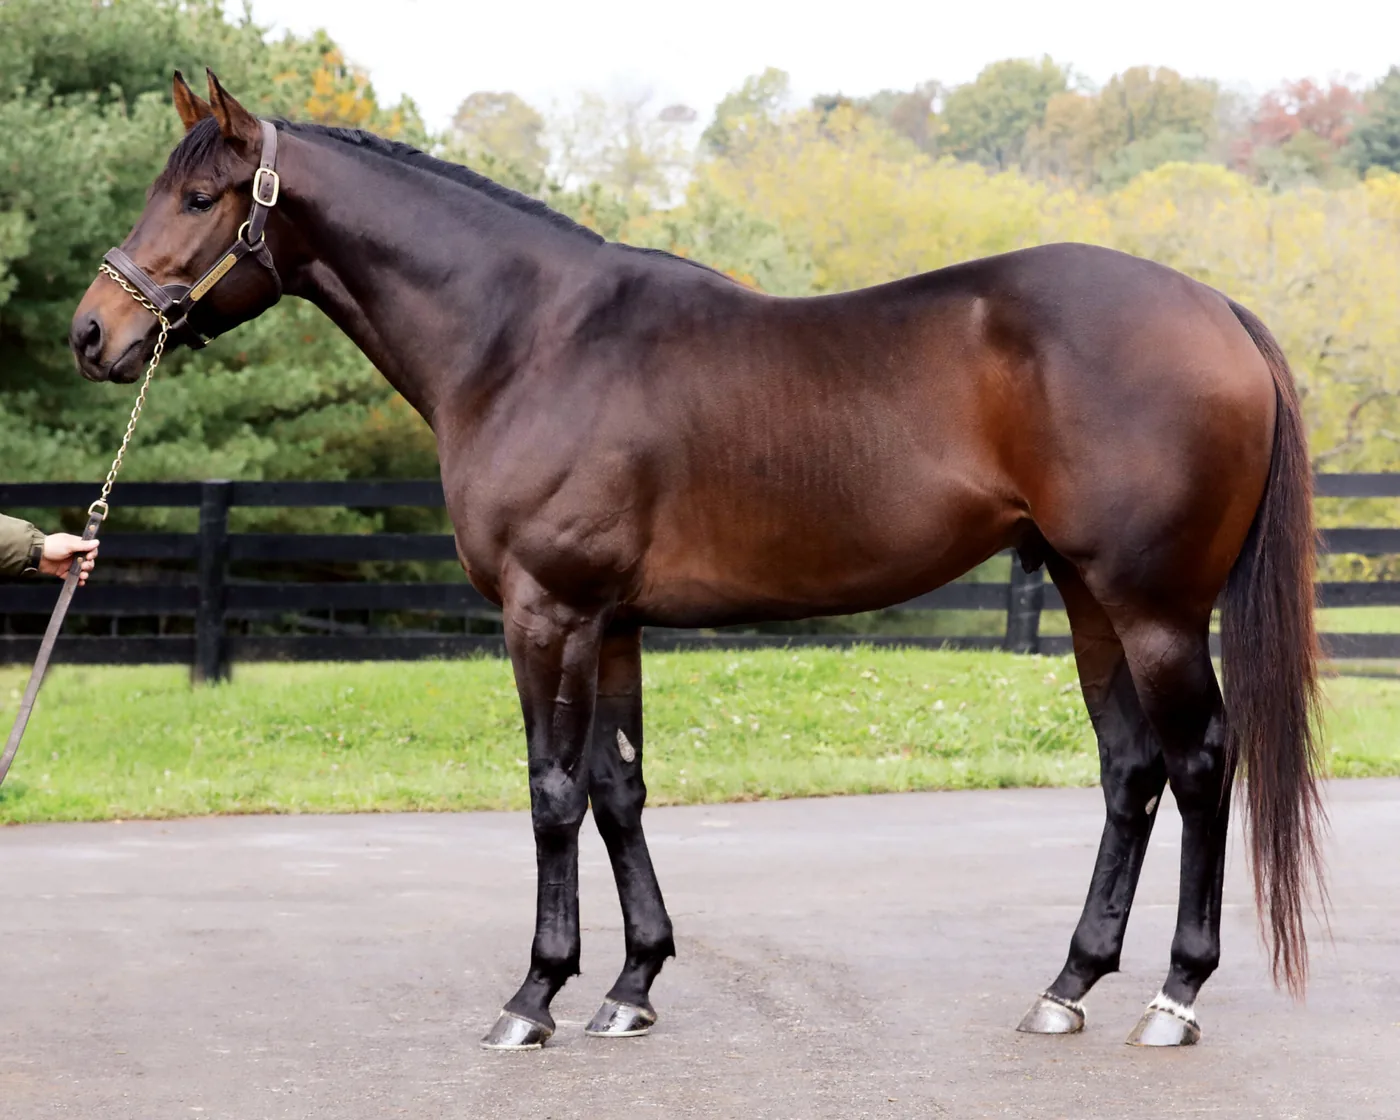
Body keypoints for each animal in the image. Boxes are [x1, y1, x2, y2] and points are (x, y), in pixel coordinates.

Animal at [71, 70, 1325, 1052]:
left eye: (198, 197)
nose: (95, 333)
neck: (529, 341)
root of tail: (1212, 306)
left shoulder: (546, 612)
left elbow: (552, 793)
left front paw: (534, 994)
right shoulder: (612, 620)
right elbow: (619, 789)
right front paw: (630, 985)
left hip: (1153, 605)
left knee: (1200, 762)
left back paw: (1172, 996)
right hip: (1083, 594)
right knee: (1129, 770)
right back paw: (1065, 986)